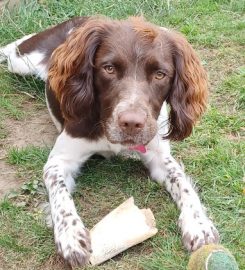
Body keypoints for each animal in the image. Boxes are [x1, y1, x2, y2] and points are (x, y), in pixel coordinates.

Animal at [0, 16, 218, 268]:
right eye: (109, 68)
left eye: (160, 74)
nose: (131, 123)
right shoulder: (59, 161)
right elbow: (60, 196)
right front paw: (70, 237)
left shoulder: (159, 156)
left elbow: (183, 184)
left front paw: (199, 224)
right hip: (21, 60)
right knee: (13, 47)